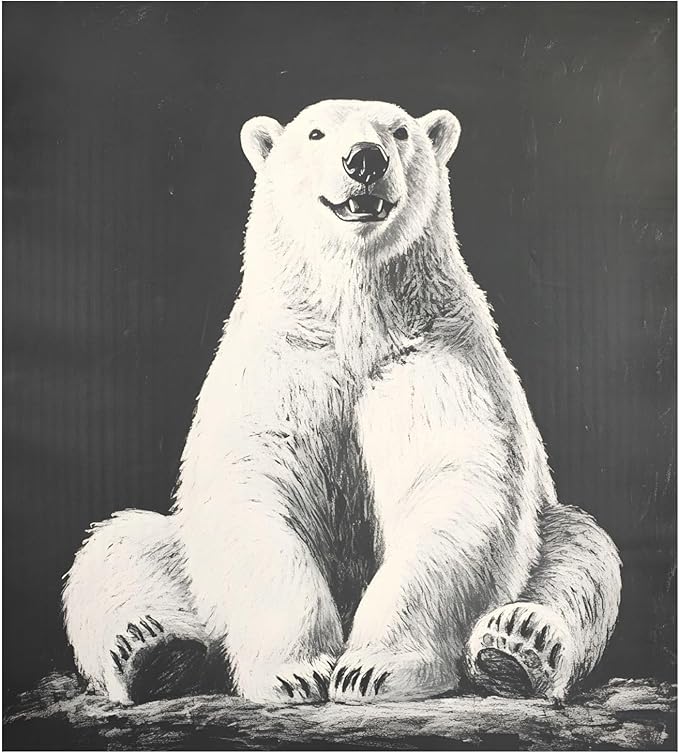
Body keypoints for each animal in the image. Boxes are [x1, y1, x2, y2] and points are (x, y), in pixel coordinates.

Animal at [63, 99, 622, 706]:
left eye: (399, 132)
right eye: (315, 133)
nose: (365, 159)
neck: (355, 321)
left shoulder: (436, 359)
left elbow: (453, 483)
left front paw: (371, 669)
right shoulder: (281, 363)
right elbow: (254, 487)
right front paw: (297, 672)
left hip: (553, 530)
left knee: (584, 553)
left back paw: (517, 645)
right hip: (179, 556)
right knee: (118, 546)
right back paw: (153, 651)